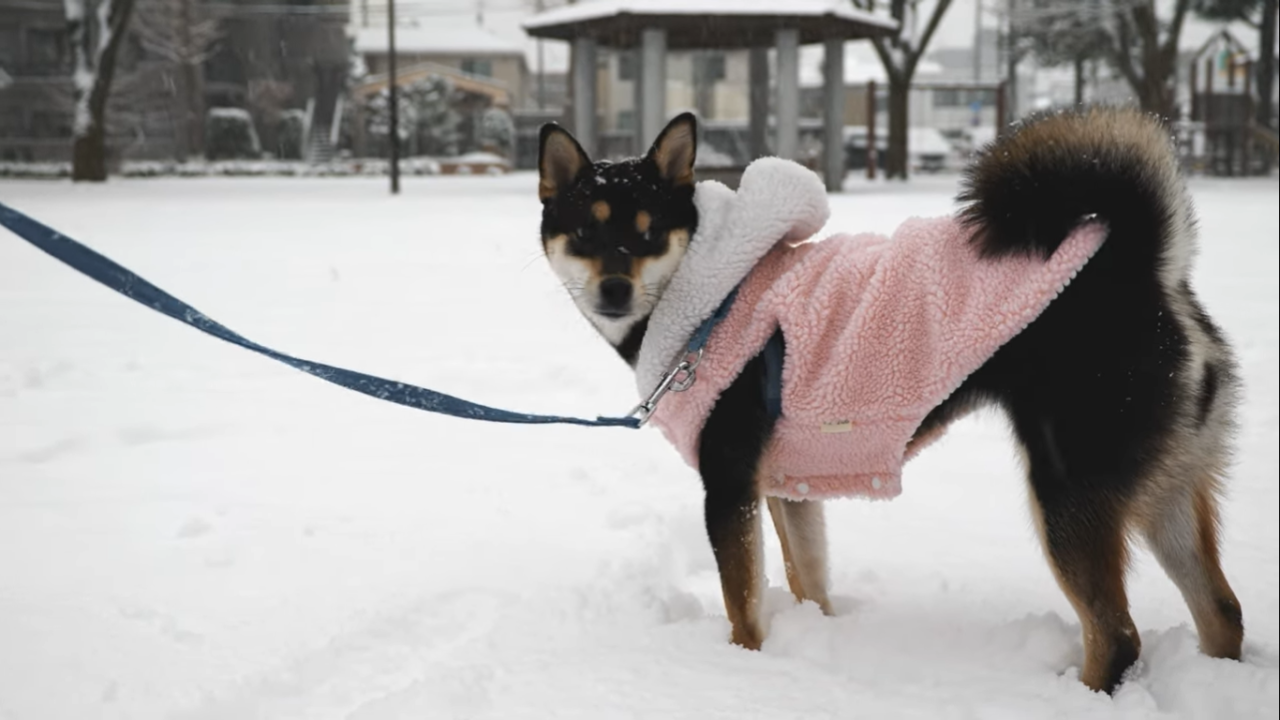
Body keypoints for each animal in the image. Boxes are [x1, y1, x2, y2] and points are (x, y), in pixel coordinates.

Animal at [529, 106, 1239, 691]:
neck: (711, 303)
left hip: (1067, 492)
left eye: (648, 233)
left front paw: (745, 670)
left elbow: (743, 606)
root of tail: (1145, 268)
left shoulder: (727, 488)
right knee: (1222, 613)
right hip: (1165, 494)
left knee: (1117, 637)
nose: (615, 288)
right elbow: (808, 579)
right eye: (586, 234)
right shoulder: (787, 487)